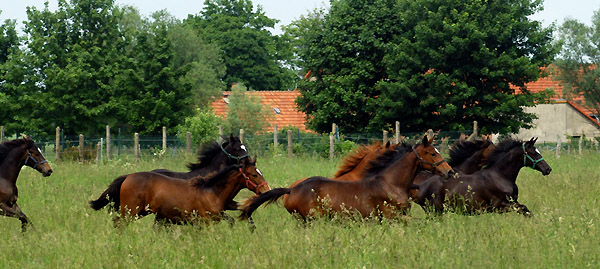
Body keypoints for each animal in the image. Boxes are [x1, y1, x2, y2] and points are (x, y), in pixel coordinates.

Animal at [89, 155, 270, 224]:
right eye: (254, 174)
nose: (266, 190)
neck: (211, 191)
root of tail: (127, 176)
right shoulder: (207, 220)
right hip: (131, 211)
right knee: (118, 223)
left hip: (142, 212)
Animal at [412, 138, 552, 216]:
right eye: (533, 153)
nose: (548, 169)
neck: (500, 176)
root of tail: (422, 185)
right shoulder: (499, 205)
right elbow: (524, 209)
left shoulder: (512, 202)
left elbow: (526, 210)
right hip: (434, 211)